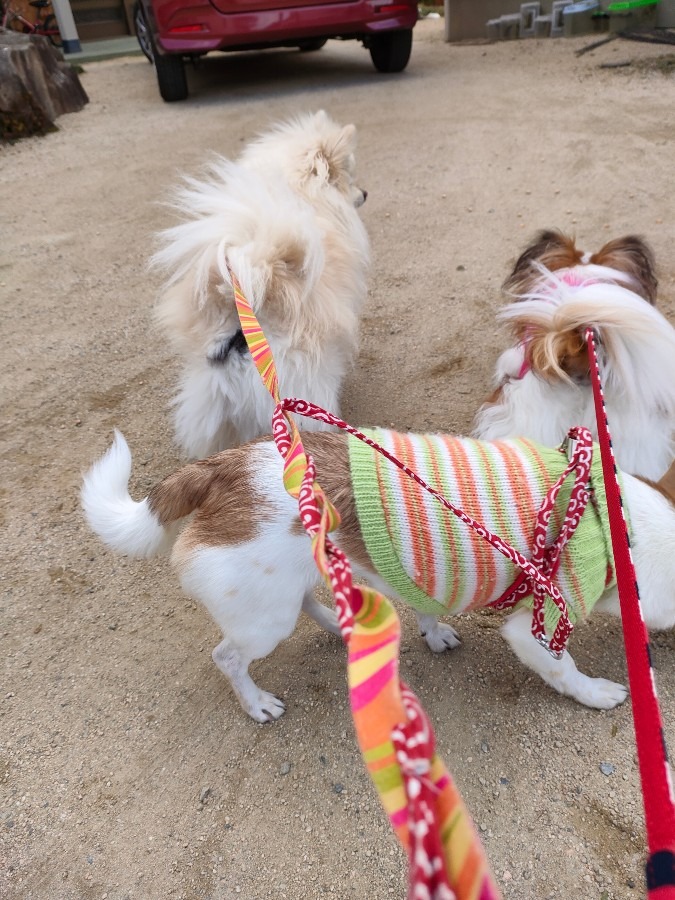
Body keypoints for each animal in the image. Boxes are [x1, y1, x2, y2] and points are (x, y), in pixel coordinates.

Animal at [82, 422, 675, 724]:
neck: (610, 520)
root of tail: (221, 470)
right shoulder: (537, 629)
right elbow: (564, 670)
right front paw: (597, 693)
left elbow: (428, 606)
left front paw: (433, 633)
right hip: (263, 619)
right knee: (228, 658)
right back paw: (256, 703)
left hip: (284, 585)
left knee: (306, 600)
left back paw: (336, 624)